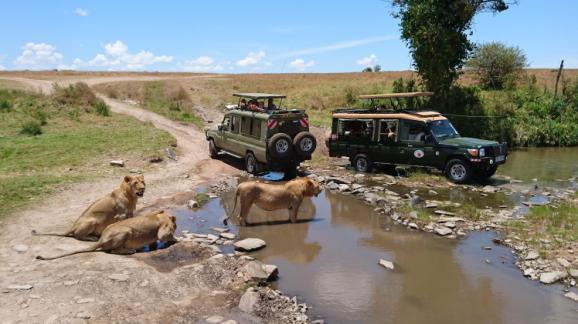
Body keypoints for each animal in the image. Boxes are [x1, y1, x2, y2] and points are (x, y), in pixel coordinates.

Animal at [36, 210, 176, 260]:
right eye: (174, 226)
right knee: (113, 251)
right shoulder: (164, 228)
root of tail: (101, 239)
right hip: (126, 231)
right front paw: (177, 238)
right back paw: (130, 250)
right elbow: (164, 236)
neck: (162, 215)